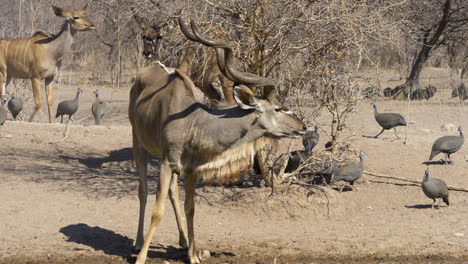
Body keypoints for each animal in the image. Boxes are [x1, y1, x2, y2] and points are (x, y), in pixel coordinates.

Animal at [130, 17, 308, 262]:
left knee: (172, 193)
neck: (193, 122)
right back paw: (138, 243)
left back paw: (183, 241)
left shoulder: (190, 169)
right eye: (278, 108)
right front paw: (141, 258)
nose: (302, 127)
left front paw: (193, 255)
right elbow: (157, 212)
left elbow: (190, 208)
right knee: (142, 190)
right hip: (138, 143)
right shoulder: (167, 163)